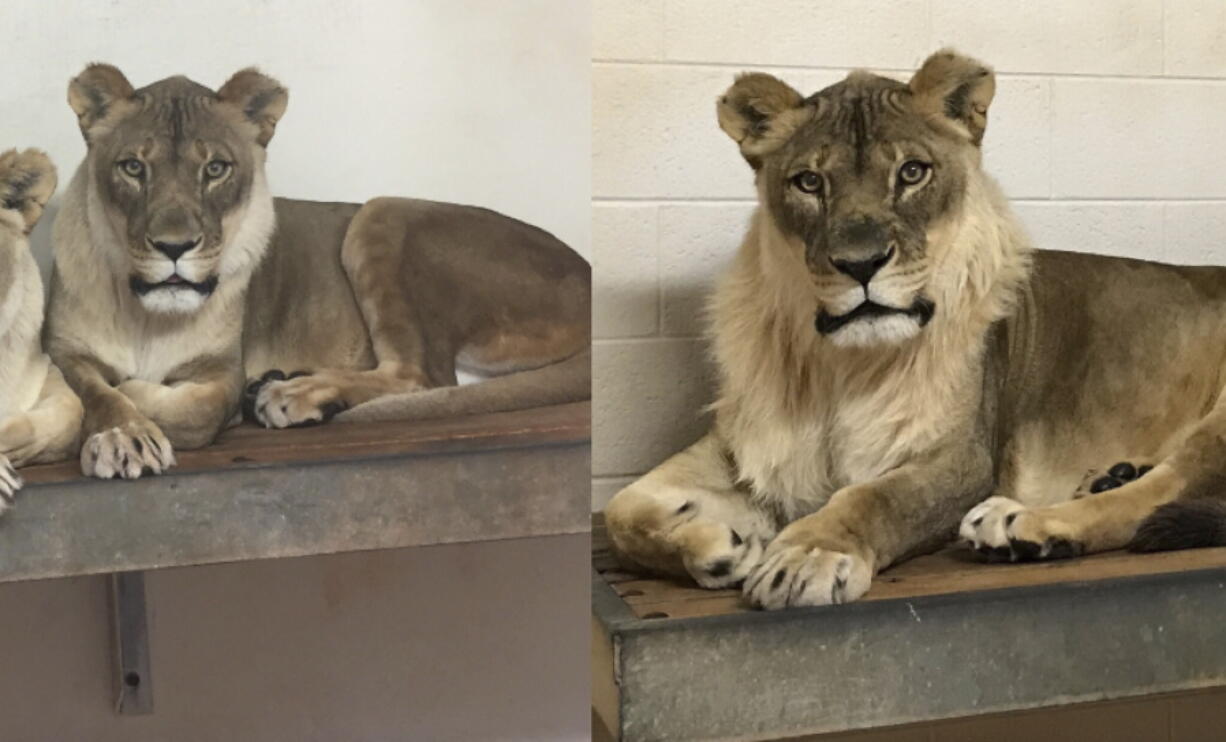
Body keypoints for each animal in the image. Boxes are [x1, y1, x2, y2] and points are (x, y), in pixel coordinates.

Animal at [43, 63, 588, 480]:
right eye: (133, 168)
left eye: (215, 168)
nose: (174, 247)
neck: (147, 317)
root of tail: (583, 267)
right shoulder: (62, 349)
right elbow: (91, 390)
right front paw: (124, 435)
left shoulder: (223, 368)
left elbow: (191, 410)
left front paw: (136, 398)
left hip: (382, 212)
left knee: (424, 376)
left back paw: (290, 394)